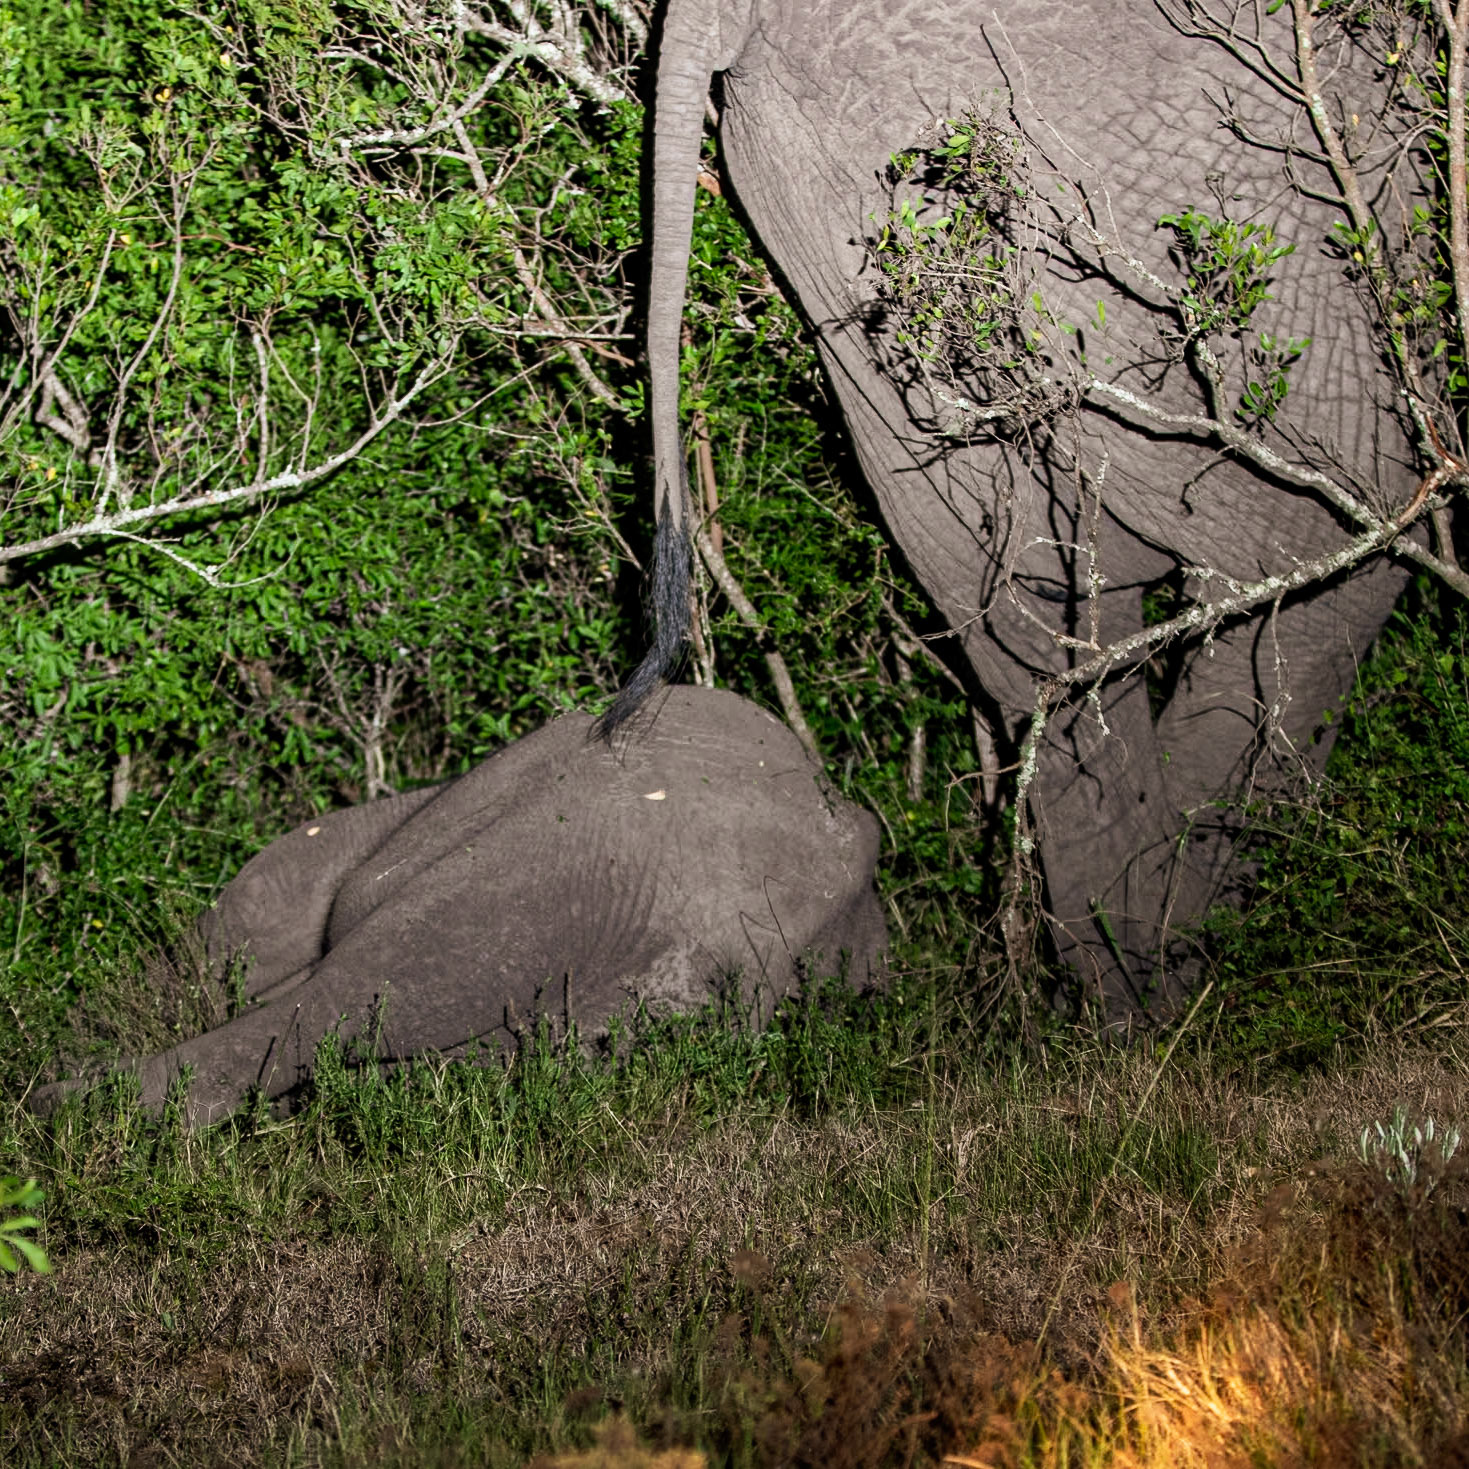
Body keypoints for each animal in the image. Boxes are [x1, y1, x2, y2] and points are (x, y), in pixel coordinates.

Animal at [603, 0, 1440, 1013]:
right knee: (1325, 554)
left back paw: (1132, 991)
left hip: (851, 220)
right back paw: (1205, 964)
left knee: (1027, 628)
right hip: (1183, 184)